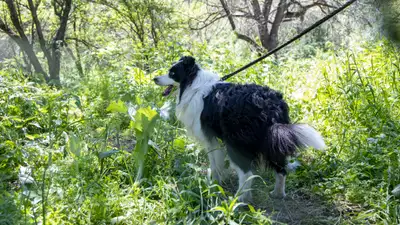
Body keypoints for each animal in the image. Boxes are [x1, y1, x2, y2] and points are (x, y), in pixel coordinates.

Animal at [153, 56, 324, 202]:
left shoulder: (210, 139)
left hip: (237, 143)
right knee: (281, 169)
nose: (154, 79)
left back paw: (239, 200)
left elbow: (214, 163)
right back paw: (277, 193)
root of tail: (270, 105)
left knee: (247, 173)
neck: (193, 84)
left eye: (172, 73)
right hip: (273, 140)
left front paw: (214, 183)